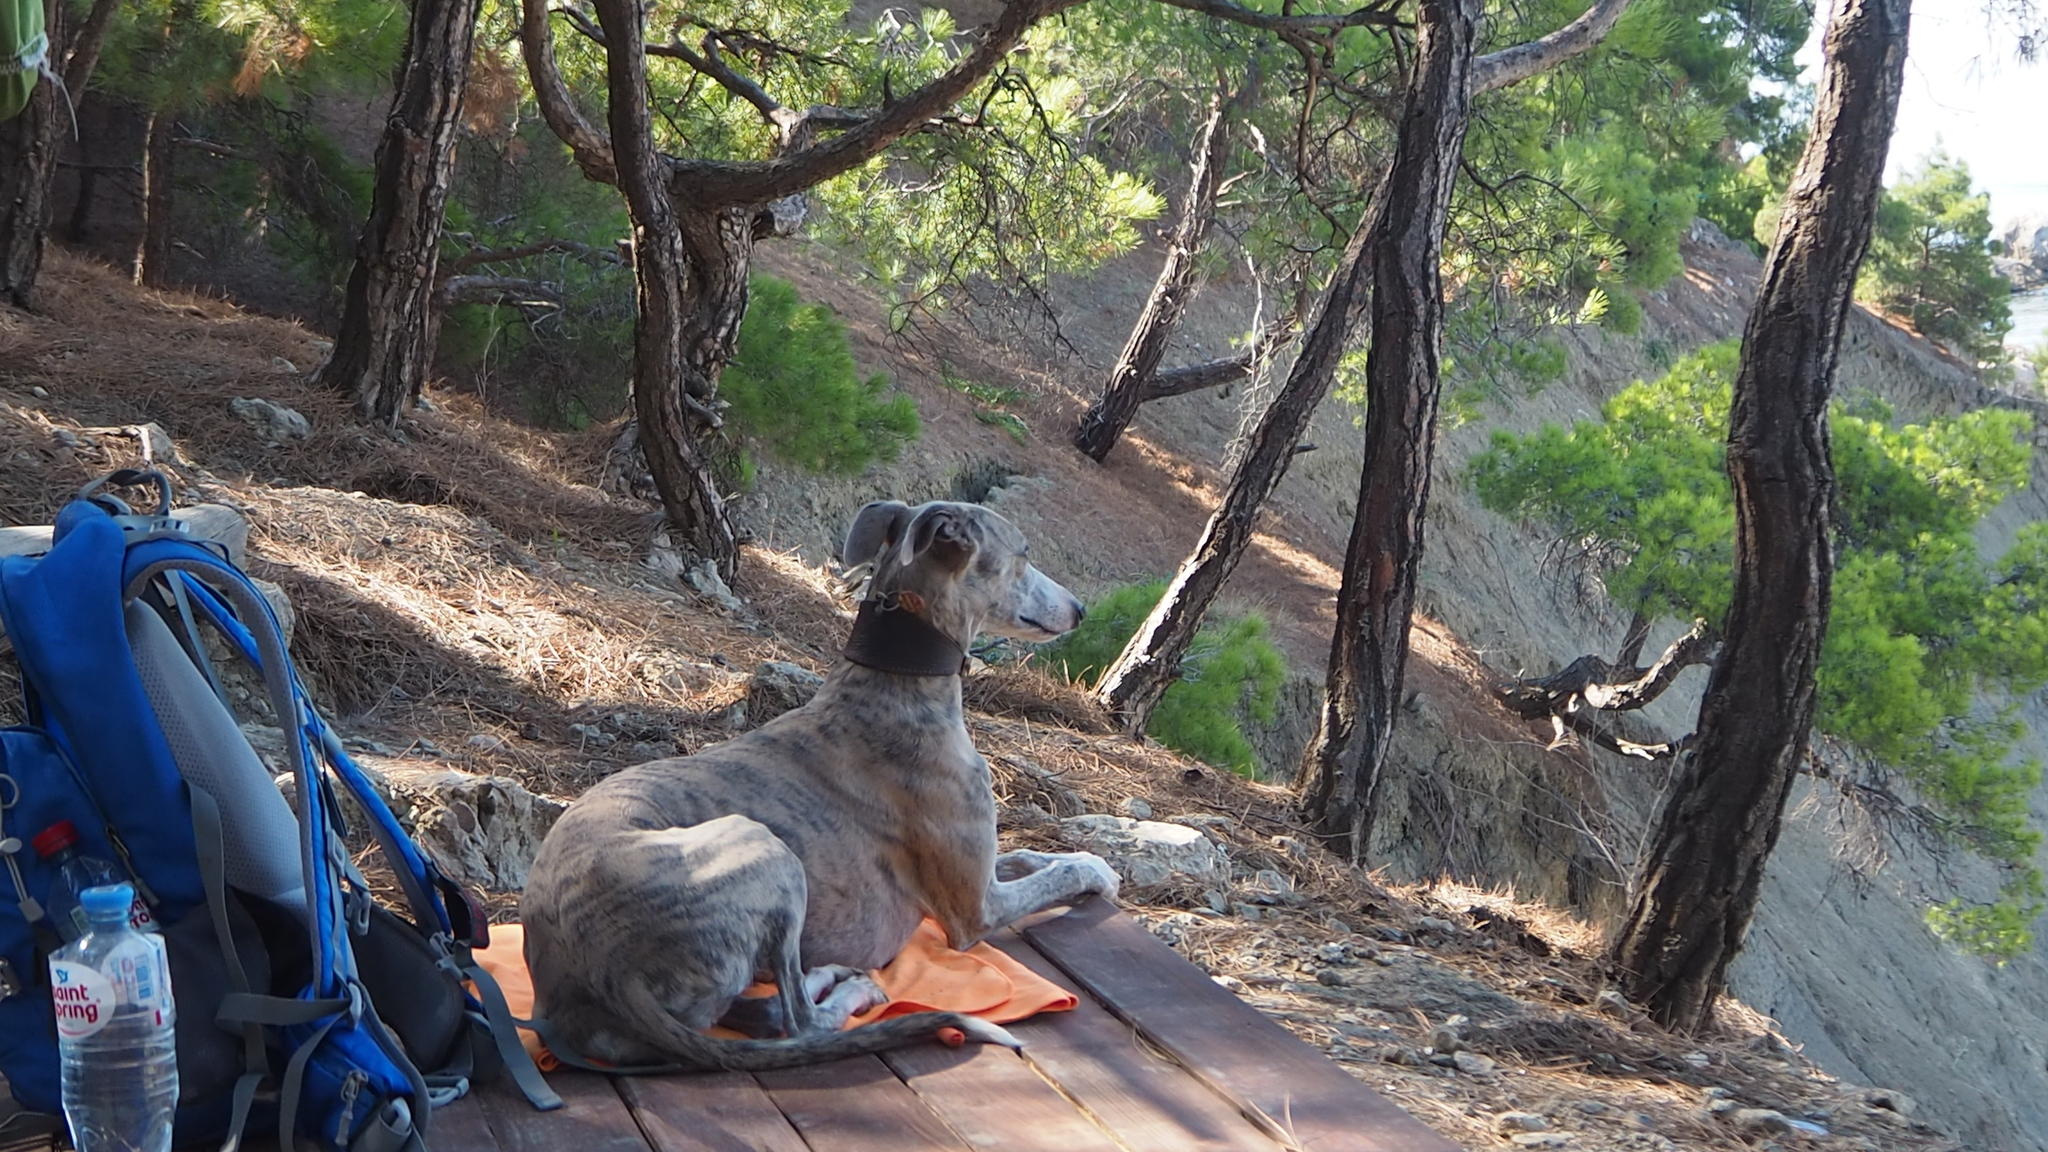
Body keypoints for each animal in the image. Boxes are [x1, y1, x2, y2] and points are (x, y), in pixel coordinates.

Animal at [512, 500, 1122, 1065]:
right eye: (1024, 555)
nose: (1080, 611)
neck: (892, 686)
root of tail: (595, 974)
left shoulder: (975, 870)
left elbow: (1031, 857)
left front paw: (1082, 859)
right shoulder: (975, 911)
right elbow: (1062, 871)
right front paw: (1095, 871)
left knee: (762, 1013)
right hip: (765, 850)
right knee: (799, 1022)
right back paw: (845, 989)